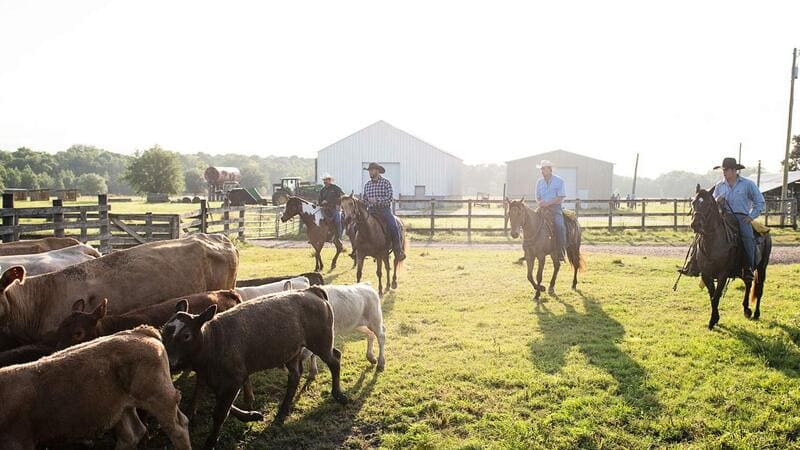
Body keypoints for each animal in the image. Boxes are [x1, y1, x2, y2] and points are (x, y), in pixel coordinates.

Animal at [0, 326, 190, 448]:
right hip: (123, 407)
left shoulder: (18, 442)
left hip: (159, 399)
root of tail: (141, 331)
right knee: (132, 434)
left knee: (178, 429)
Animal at [692, 185, 772, 328]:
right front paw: (715, 319)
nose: (696, 224)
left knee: (759, 288)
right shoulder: (706, 274)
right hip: (745, 270)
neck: (713, 243)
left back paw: (756, 313)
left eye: (708, 204)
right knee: (748, 284)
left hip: (762, 266)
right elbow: (712, 296)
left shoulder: (723, 274)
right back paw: (746, 309)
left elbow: (716, 296)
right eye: (693, 202)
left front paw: (713, 321)